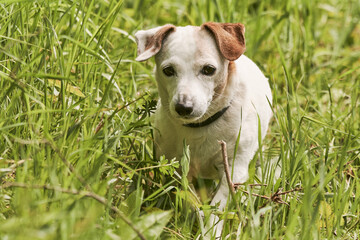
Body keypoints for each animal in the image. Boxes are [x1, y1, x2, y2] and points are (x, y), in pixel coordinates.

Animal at [135, 22, 272, 238]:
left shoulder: (233, 170)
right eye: (168, 70)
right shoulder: (178, 169)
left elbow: (218, 206)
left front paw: (210, 232)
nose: (184, 107)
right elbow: (189, 199)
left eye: (208, 69)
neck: (201, 126)